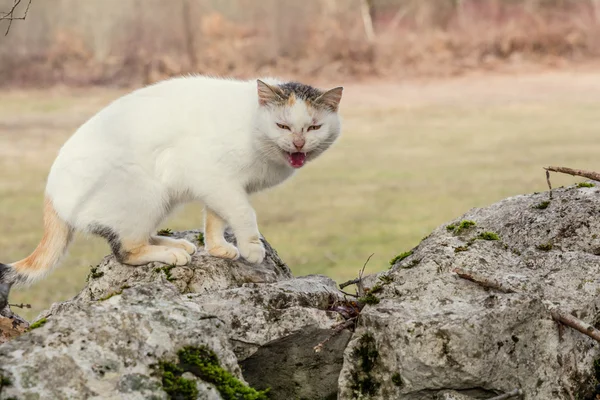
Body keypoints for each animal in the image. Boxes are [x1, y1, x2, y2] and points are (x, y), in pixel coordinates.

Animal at [0, 76, 342, 288]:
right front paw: (251, 248)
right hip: (144, 194)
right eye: (282, 125)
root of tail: (50, 192)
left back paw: (176, 243)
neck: (251, 127)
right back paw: (170, 254)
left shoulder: (219, 186)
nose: (298, 144)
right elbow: (243, 213)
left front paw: (219, 248)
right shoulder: (214, 176)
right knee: (126, 251)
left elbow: (216, 218)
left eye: (314, 127)